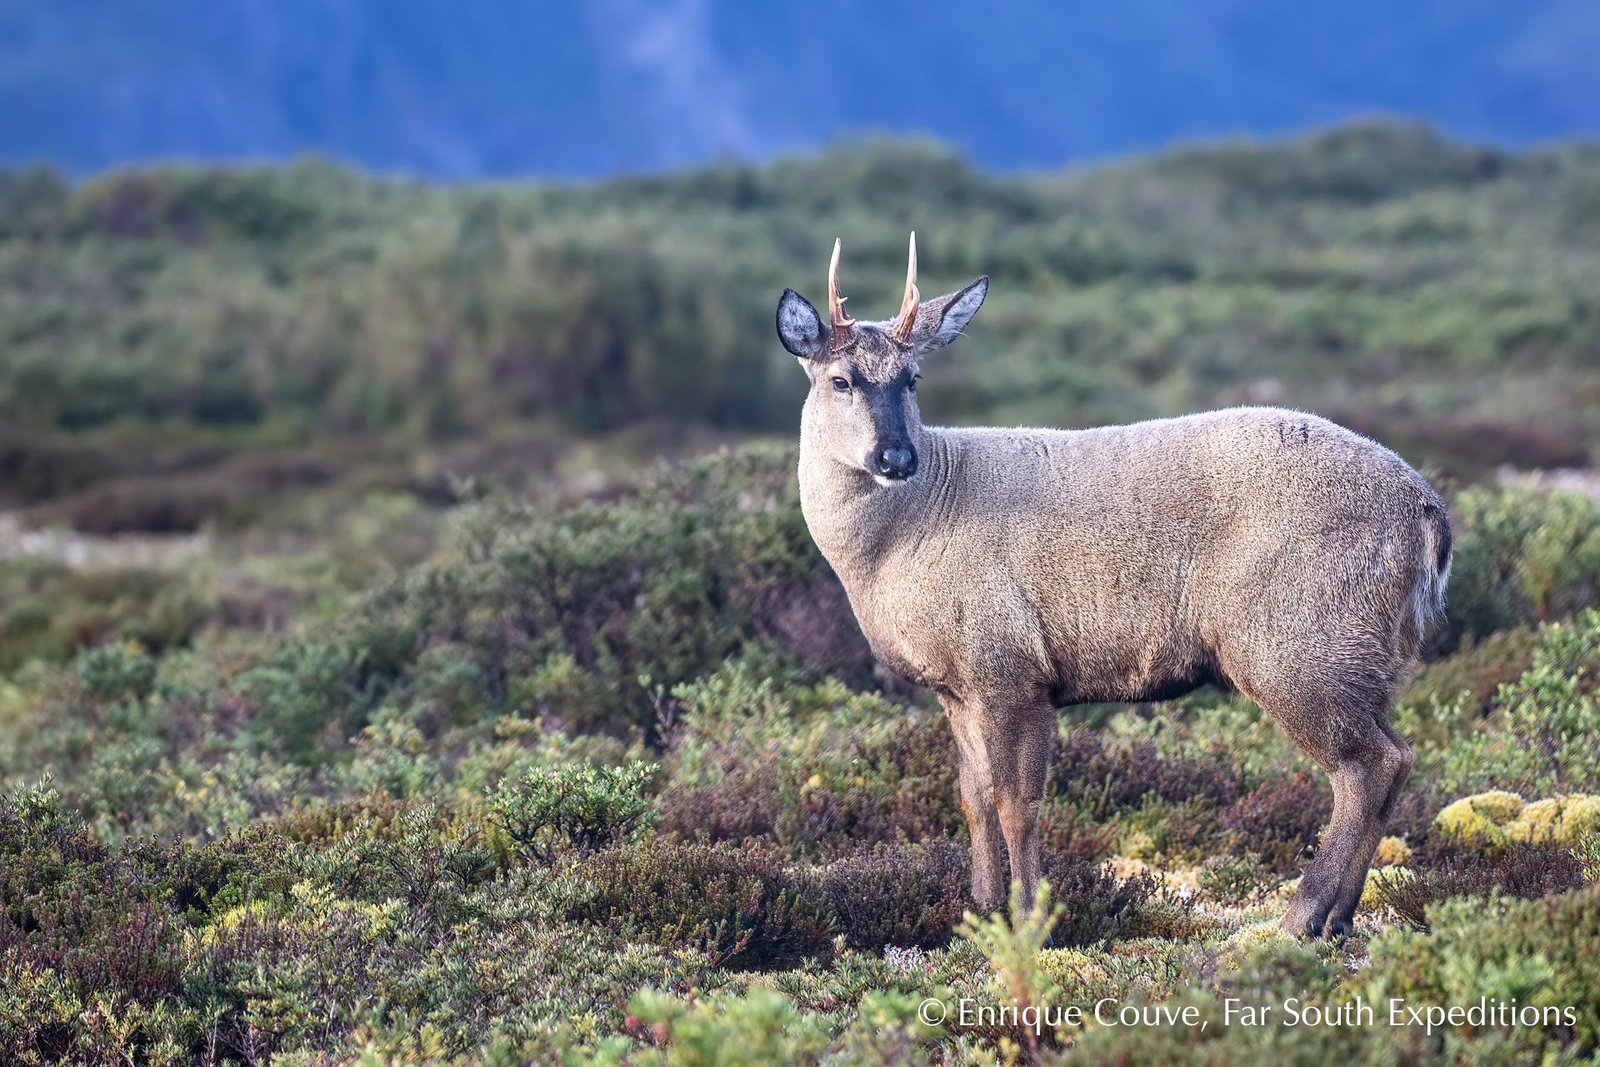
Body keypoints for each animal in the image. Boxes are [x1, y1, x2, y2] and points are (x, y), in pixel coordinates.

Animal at [774, 234, 1452, 938]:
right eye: (840, 379)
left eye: (913, 378)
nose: (896, 457)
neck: (898, 542)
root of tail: (1427, 513)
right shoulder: (957, 685)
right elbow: (973, 799)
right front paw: (982, 914)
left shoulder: (1011, 666)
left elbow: (1018, 803)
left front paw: (1031, 919)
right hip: (1352, 651)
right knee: (1391, 761)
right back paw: (1336, 917)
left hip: (1296, 639)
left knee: (1369, 766)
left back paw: (1302, 917)